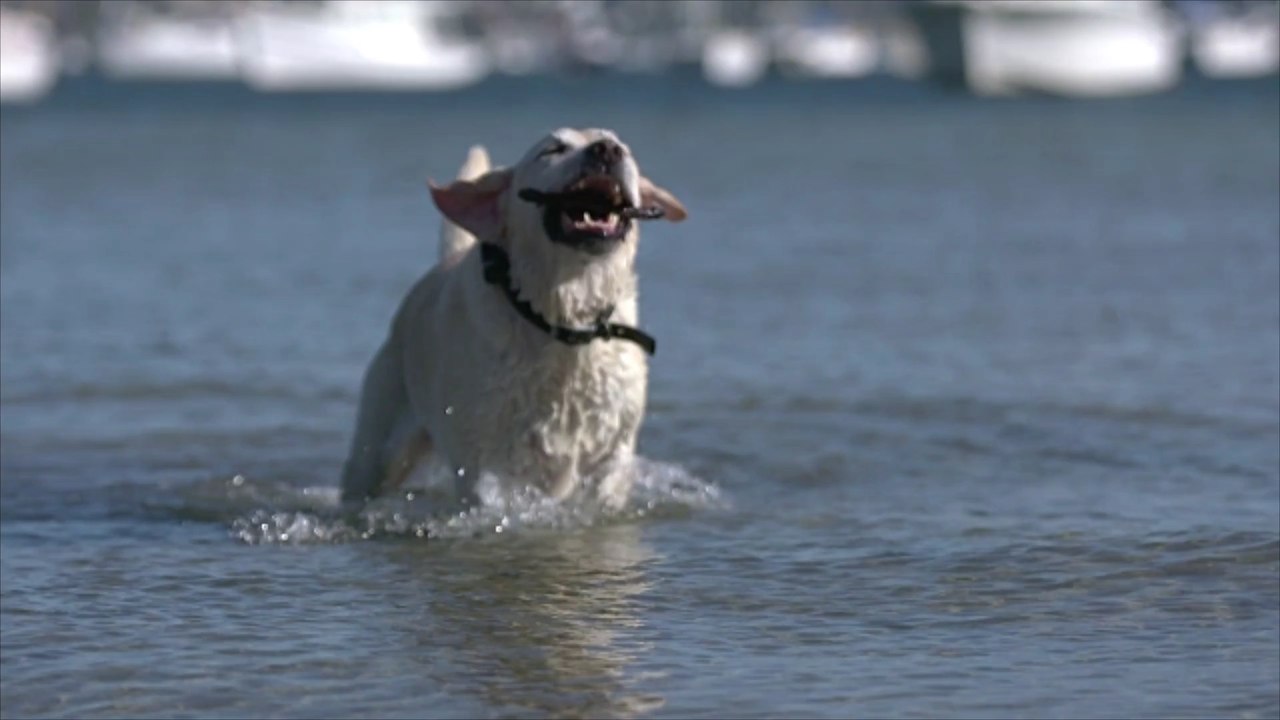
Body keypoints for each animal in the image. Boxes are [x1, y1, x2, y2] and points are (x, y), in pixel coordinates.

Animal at [337, 130, 680, 509]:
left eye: (624, 149)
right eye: (553, 149)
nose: (607, 149)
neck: (562, 319)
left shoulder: (612, 451)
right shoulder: (483, 461)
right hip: (377, 444)